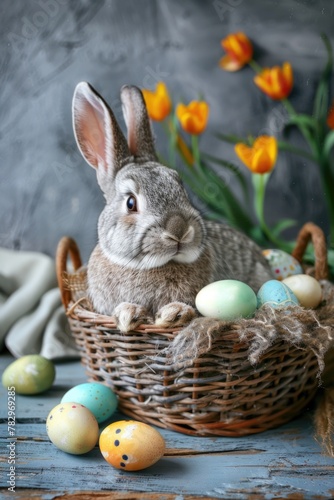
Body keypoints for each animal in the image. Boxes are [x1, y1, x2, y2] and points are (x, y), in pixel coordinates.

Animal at [72, 81, 272, 332]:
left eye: (181, 188)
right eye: (130, 203)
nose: (179, 230)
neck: (150, 267)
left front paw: (173, 313)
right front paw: (128, 314)